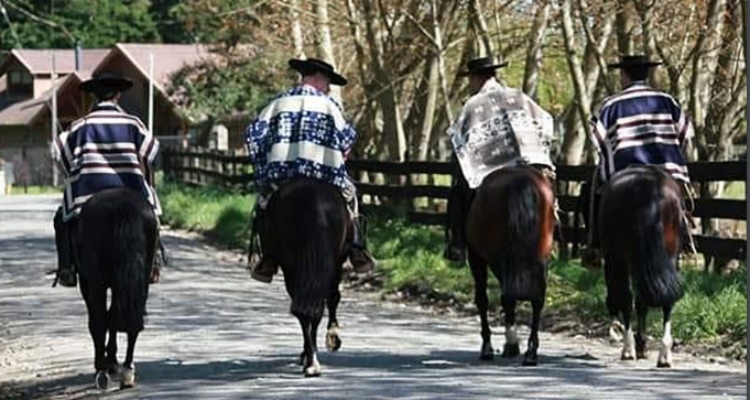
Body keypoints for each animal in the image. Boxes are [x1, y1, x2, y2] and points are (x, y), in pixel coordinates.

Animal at [75, 188, 157, 390]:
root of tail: (123, 205)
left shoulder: (88, 281)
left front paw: (108, 361)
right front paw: (112, 359)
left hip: (95, 282)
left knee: (98, 321)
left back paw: (101, 370)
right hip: (140, 280)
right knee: (131, 320)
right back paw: (127, 371)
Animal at [464, 166, 560, 366]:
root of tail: (522, 183)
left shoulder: (477, 257)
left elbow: (484, 300)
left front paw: (494, 345)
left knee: (507, 296)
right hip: (540, 257)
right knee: (537, 298)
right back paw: (531, 352)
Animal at [600, 164, 688, 368]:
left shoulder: (614, 259)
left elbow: (628, 299)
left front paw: (634, 344)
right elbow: (642, 301)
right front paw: (642, 344)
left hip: (622, 258)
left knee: (627, 297)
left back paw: (628, 349)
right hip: (670, 256)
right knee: (667, 300)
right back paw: (664, 354)